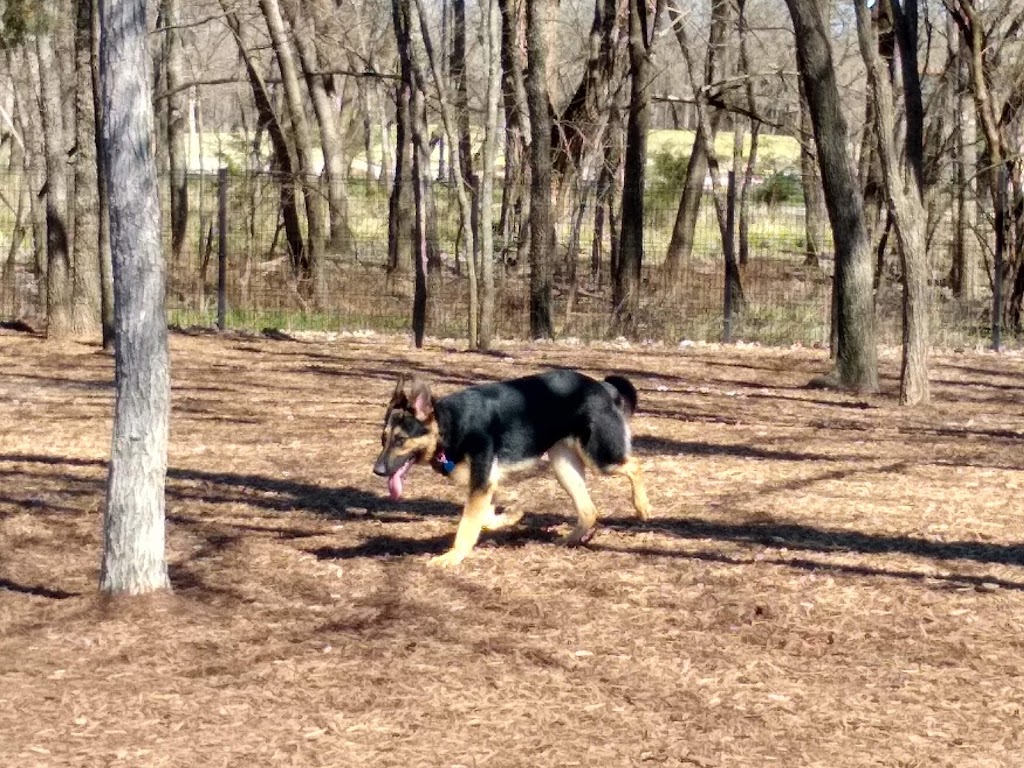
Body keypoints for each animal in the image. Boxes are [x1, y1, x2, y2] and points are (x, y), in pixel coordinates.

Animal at [372, 370, 651, 569]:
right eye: (383, 439)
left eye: (400, 440)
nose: (377, 470)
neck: (448, 427)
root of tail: (603, 387)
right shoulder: (485, 485)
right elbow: (484, 518)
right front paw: (513, 514)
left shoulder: (481, 484)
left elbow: (468, 524)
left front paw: (452, 556)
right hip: (563, 465)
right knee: (589, 510)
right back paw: (569, 540)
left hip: (600, 458)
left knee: (635, 465)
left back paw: (643, 506)